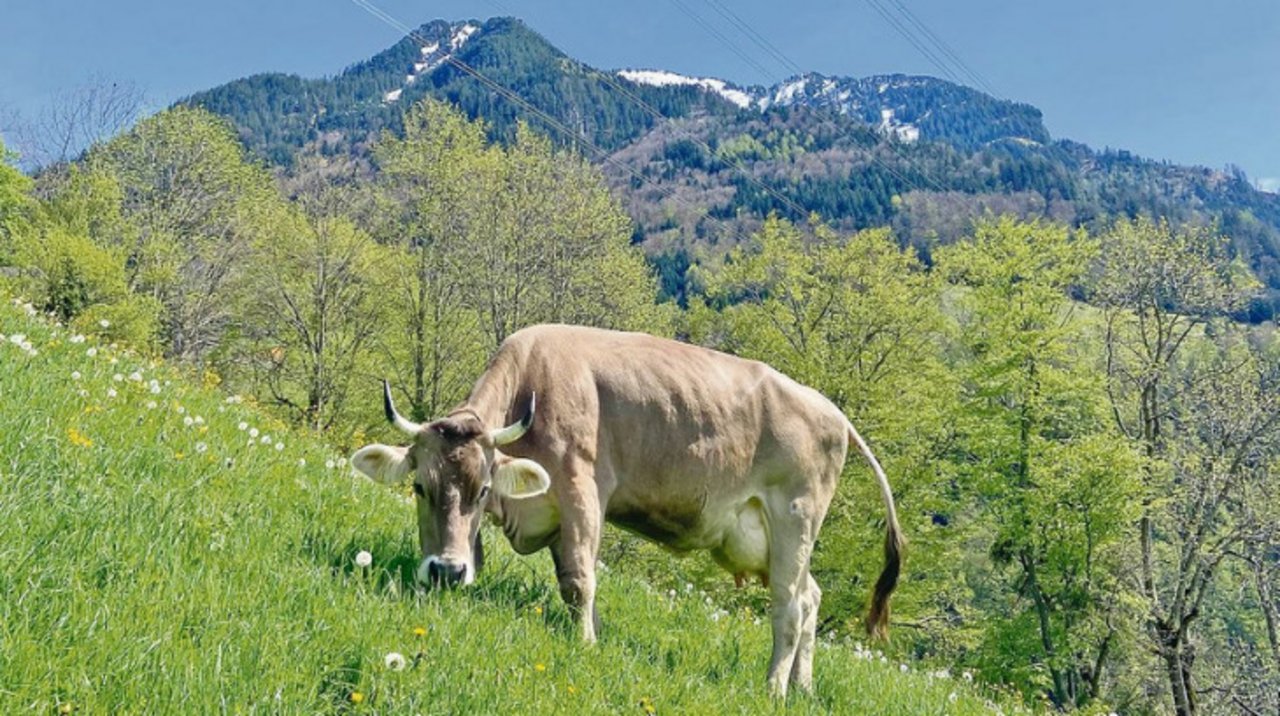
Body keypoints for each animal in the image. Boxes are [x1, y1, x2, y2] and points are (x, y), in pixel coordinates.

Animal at [350, 325, 906, 696]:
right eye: (420, 486)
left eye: (484, 489)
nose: (445, 571)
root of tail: (831, 410)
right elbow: (550, 572)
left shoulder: (582, 489)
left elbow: (579, 579)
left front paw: (586, 644)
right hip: (777, 540)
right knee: (811, 598)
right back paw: (804, 688)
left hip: (795, 517)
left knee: (789, 608)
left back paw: (772, 690)